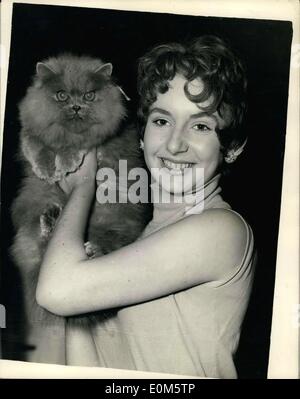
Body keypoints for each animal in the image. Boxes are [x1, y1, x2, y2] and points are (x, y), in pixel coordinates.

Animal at [10, 55, 151, 332]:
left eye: (89, 95)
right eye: (62, 95)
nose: (76, 107)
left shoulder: (98, 138)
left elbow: (77, 145)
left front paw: (66, 162)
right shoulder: (31, 129)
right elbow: (34, 144)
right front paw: (46, 169)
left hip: (115, 222)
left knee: (110, 244)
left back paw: (91, 249)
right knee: (44, 240)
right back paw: (51, 219)